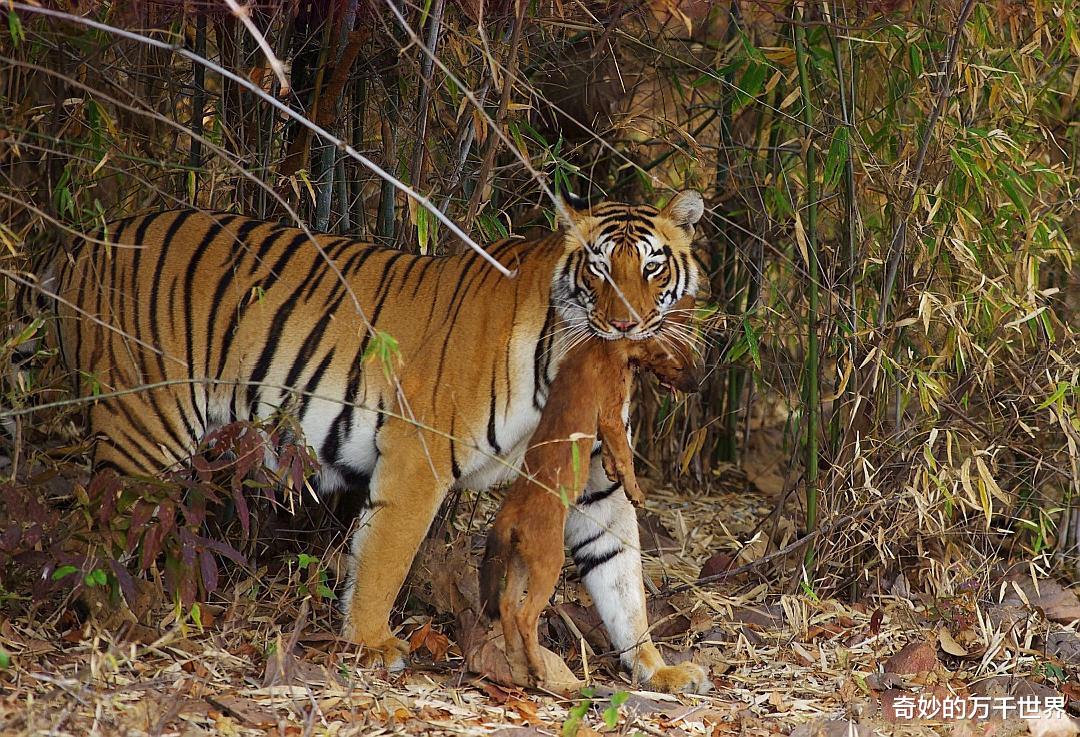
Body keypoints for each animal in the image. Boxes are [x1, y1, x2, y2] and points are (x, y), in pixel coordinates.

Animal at [39, 188, 708, 687]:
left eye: (651, 267)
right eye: (598, 267)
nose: (626, 325)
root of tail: (81, 242)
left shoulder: (595, 482)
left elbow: (622, 576)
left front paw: (658, 669)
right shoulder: (419, 454)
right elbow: (386, 554)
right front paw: (370, 643)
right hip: (144, 426)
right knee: (96, 532)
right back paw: (123, 624)